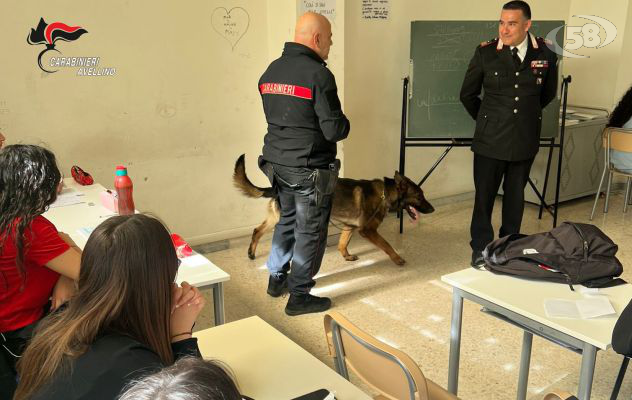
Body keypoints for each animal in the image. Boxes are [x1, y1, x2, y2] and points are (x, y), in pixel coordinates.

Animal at [232, 155, 434, 266]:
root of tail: (277, 187)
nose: (432, 209)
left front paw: (346, 256)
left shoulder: (349, 227)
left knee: (257, 231)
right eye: (419, 196)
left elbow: (342, 244)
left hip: (276, 218)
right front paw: (397, 258)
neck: (385, 194)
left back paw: (251, 253)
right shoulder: (367, 230)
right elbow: (387, 245)